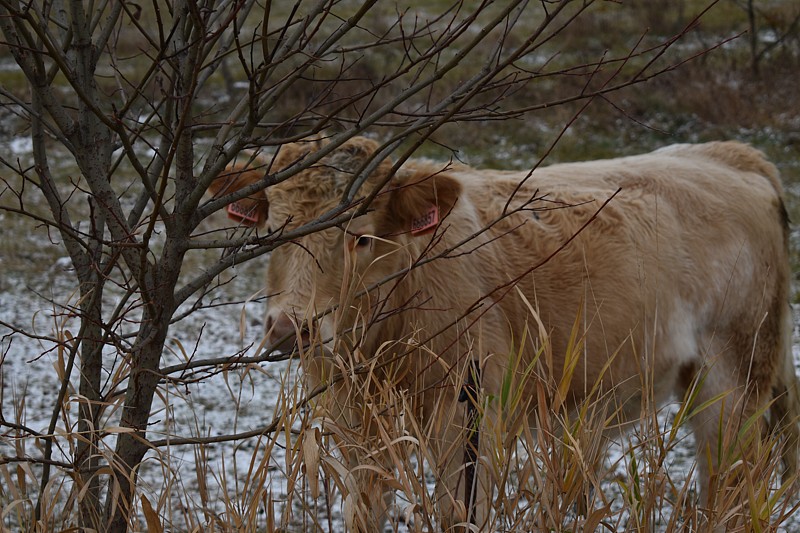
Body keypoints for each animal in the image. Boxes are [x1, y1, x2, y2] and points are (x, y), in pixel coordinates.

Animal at [208, 136, 800, 528]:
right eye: (271, 230)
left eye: (361, 238)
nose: (291, 328)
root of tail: (729, 155)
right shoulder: (353, 425)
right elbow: (364, 509)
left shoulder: (469, 417)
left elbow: (460, 513)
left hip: (734, 381)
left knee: (733, 490)